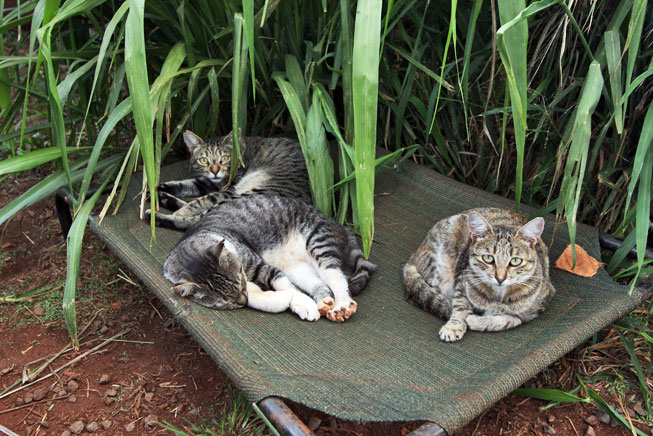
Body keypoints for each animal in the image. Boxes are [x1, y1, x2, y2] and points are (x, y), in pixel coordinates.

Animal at [163, 196, 374, 322]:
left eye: (239, 280)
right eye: (222, 301)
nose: (241, 300)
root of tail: (337, 223)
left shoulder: (260, 267)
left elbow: (283, 285)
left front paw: (301, 303)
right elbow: (260, 297)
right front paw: (285, 301)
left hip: (318, 242)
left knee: (336, 278)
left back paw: (342, 305)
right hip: (298, 269)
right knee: (319, 285)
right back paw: (324, 302)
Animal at [402, 209, 556, 342]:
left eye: (515, 261)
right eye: (488, 258)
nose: (500, 278)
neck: (498, 296)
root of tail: (415, 255)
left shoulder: (541, 303)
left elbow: (510, 320)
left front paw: (477, 320)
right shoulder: (462, 281)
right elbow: (460, 306)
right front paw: (454, 326)